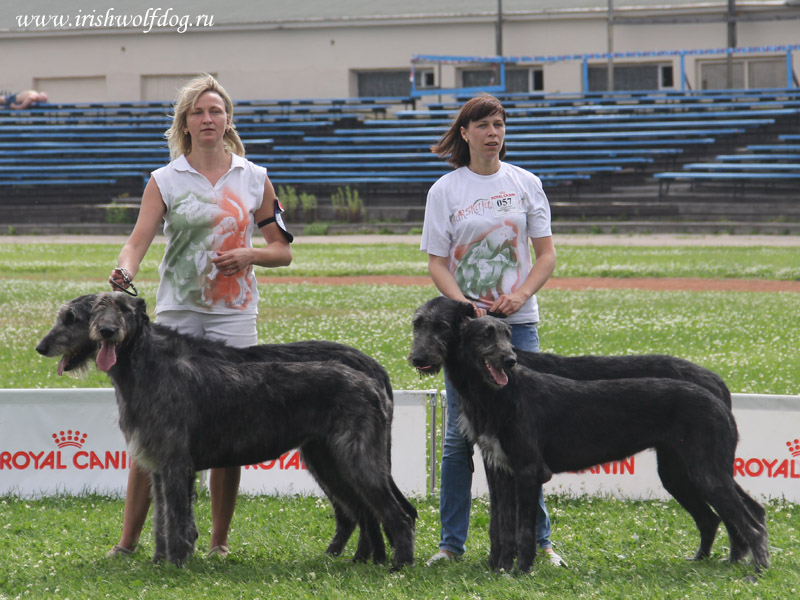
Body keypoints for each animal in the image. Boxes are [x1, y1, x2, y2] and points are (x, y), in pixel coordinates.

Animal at [35, 292, 416, 568]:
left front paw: (176, 563)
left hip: (357, 458)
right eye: (92, 313)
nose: (107, 332)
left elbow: (177, 518)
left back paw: (399, 565)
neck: (147, 365)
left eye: (123, 310)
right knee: (366, 512)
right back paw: (368, 560)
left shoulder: (175, 464)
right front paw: (160, 560)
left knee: (398, 514)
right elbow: (161, 518)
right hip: (328, 459)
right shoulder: (158, 466)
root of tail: (371, 378)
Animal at [410, 298, 764, 576]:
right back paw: (712, 560)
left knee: (748, 519)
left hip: (705, 471)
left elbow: (523, 529)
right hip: (681, 471)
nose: (418, 358)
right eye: (418, 324)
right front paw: (498, 567)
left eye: (442, 325)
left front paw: (519, 571)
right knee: (717, 517)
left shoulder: (528, 471)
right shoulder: (499, 466)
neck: (497, 394)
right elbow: (501, 525)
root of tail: (717, 388)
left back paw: (754, 569)